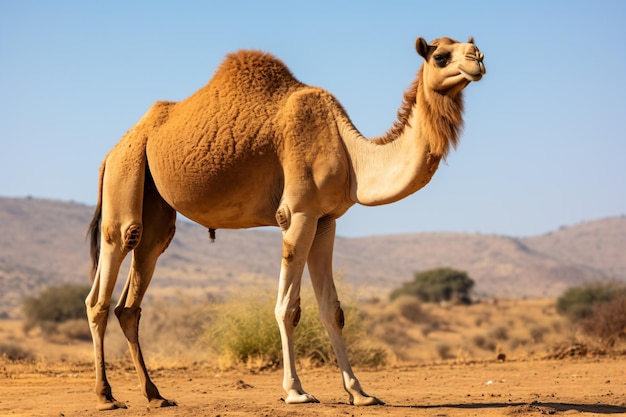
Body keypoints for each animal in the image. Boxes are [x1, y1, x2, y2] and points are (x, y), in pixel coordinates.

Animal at [84, 36, 482, 410]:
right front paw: (296, 392)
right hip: (126, 176)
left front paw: (360, 393)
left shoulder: (326, 219)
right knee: (104, 283)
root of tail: (111, 152)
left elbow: (332, 310)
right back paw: (105, 396)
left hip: (155, 209)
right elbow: (288, 308)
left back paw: (155, 395)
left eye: (471, 47)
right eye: (440, 56)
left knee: (132, 297)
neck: (350, 154)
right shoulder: (298, 213)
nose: (477, 59)